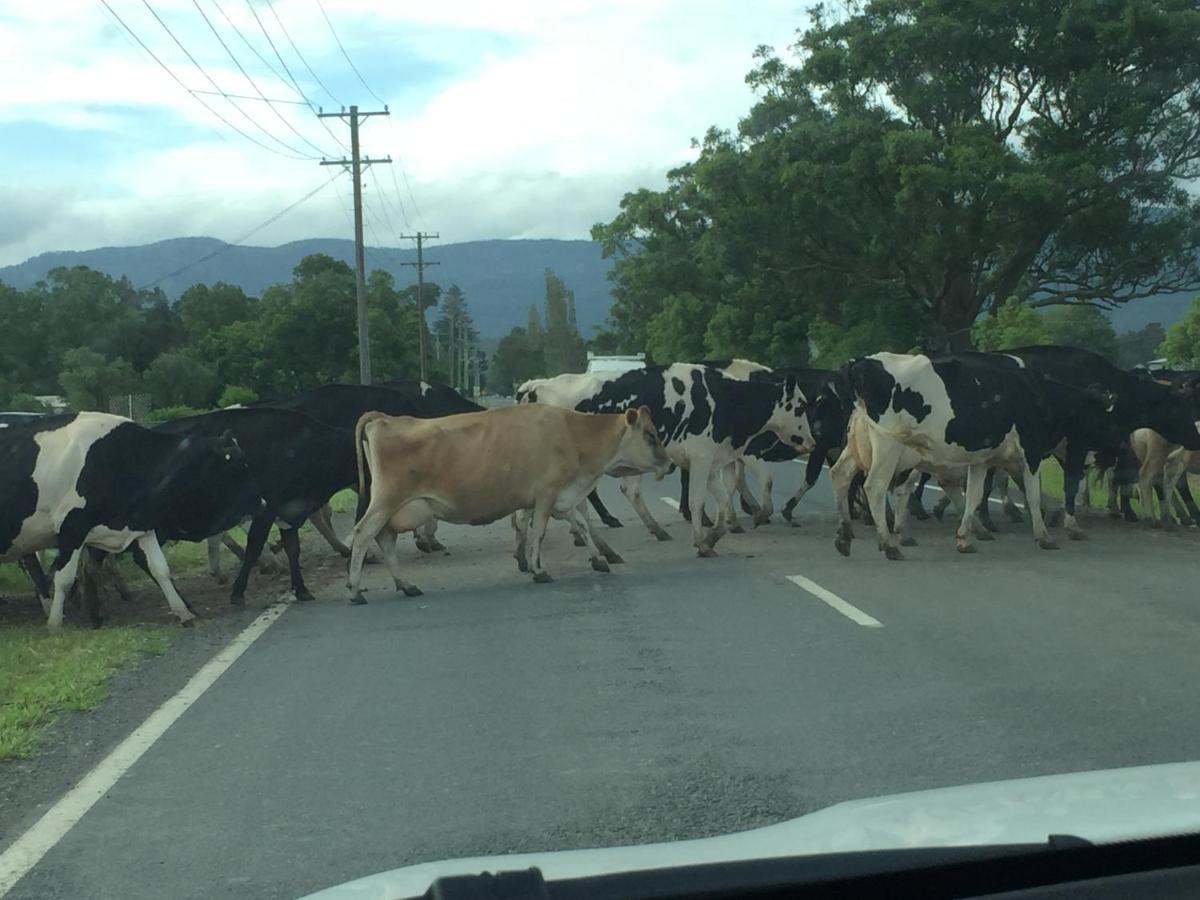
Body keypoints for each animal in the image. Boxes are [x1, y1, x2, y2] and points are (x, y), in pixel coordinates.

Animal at [0, 415, 260, 628]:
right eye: (238, 466)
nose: (262, 501)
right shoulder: (72, 528)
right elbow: (64, 578)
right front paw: (55, 624)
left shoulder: (140, 525)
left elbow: (159, 568)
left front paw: (183, 612)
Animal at [348, 403, 672, 602]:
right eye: (650, 435)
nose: (669, 465)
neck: (573, 434)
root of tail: (385, 418)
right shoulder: (546, 494)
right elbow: (538, 532)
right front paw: (539, 570)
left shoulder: (561, 497)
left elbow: (579, 523)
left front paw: (599, 559)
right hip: (387, 500)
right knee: (363, 534)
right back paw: (355, 591)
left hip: (392, 508)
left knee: (384, 539)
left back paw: (406, 585)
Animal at [830, 352, 1118, 556]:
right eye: (1102, 416)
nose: (1114, 451)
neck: (1037, 393)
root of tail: (860, 362)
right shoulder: (1031, 451)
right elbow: (1033, 495)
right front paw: (1044, 536)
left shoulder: (982, 458)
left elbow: (975, 495)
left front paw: (965, 538)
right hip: (887, 447)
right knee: (875, 487)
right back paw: (889, 545)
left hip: (859, 444)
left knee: (840, 475)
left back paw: (844, 535)